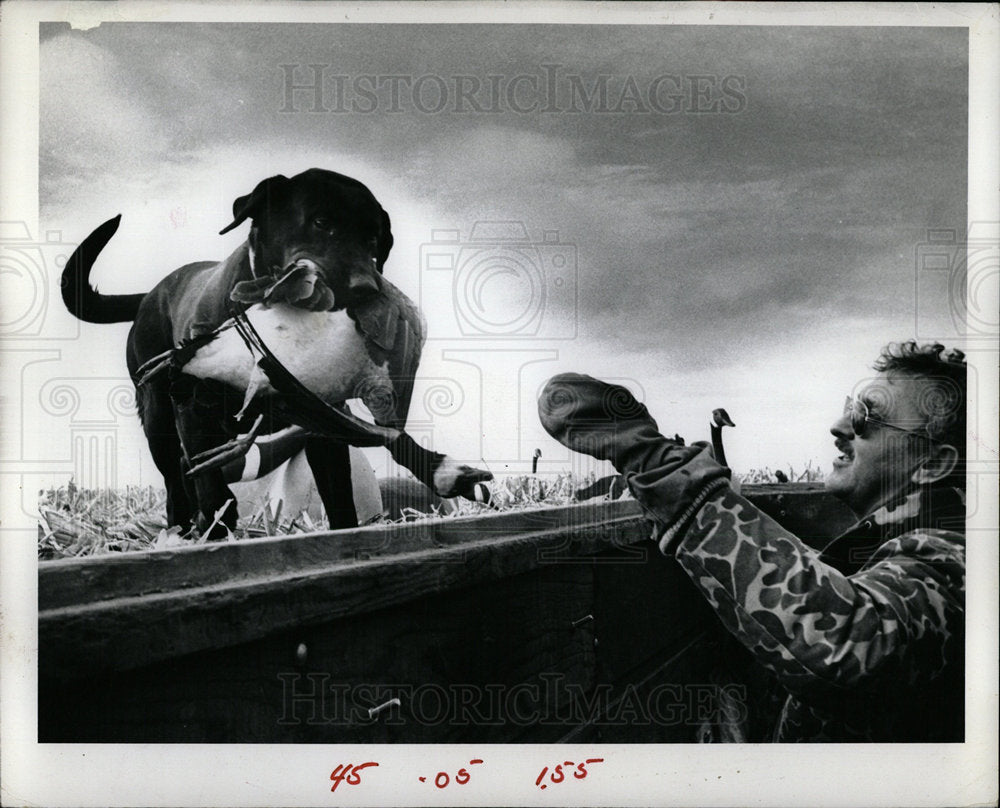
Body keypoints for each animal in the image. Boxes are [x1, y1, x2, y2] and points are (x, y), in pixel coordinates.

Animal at [60, 169, 490, 536]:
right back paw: (185, 526)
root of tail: (151, 293)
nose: (367, 289)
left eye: (373, 239)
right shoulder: (196, 406)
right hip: (158, 417)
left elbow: (341, 494)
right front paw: (216, 521)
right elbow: (209, 482)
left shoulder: (323, 419)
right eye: (320, 221)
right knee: (177, 473)